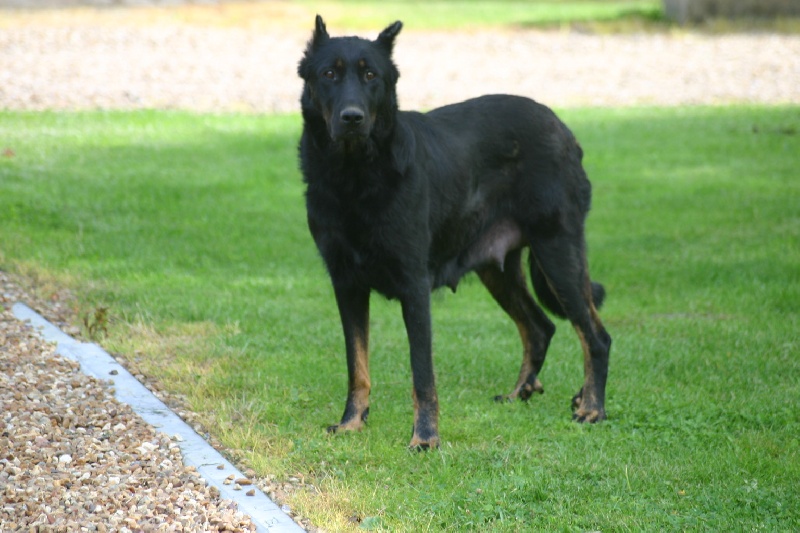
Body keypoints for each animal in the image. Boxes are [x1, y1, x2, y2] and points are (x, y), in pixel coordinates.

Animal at [296, 17, 608, 448]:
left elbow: (422, 373)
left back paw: (592, 407)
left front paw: (425, 437)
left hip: (558, 251)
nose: (352, 117)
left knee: (594, 336)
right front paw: (352, 422)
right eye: (329, 74)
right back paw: (521, 392)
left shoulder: (414, 285)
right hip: (497, 268)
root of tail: (564, 130)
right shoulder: (346, 284)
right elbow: (356, 364)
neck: (355, 175)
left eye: (371, 75)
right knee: (540, 327)